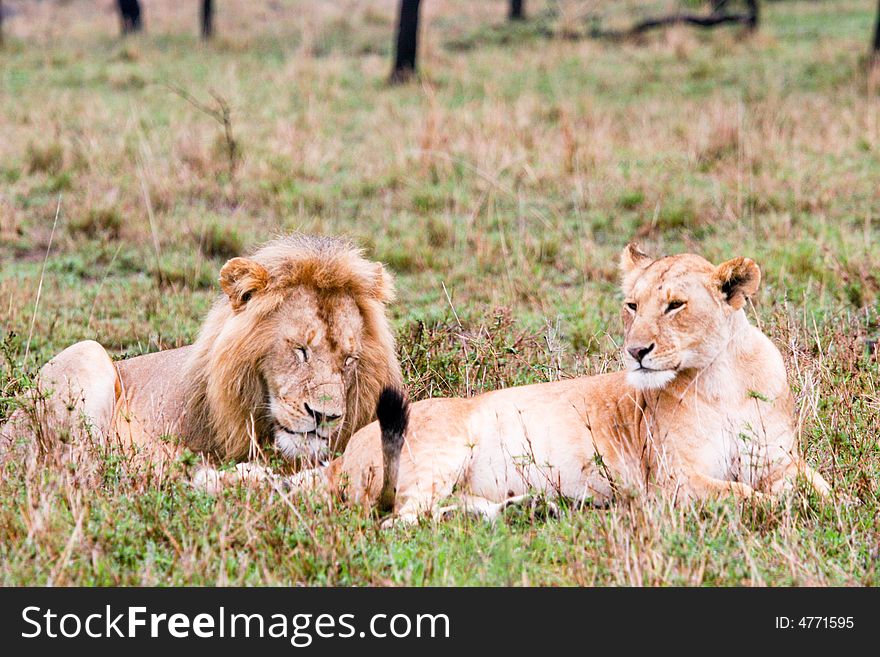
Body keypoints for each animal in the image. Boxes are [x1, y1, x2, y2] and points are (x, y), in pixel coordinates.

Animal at [306, 242, 836, 524]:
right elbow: (746, 497)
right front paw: (778, 508)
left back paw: (531, 507)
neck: (721, 380)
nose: (636, 352)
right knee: (401, 519)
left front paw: (832, 505)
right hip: (438, 452)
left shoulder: (778, 460)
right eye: (632, 305)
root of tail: (342, 456)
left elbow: (820, 488)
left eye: (675, 305)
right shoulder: (672, 481)